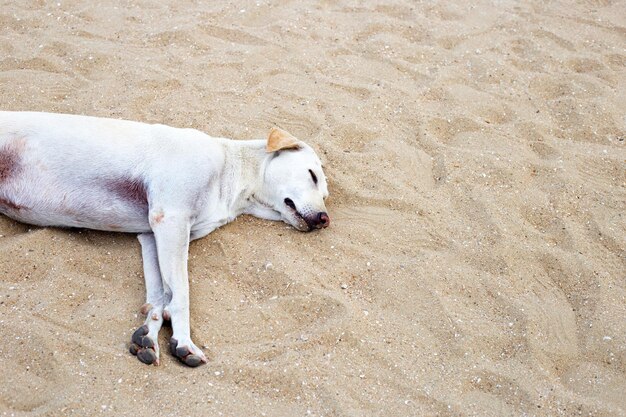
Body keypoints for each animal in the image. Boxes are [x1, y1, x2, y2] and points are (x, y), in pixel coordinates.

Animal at [0, 110, 330, 364]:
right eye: (312, 175)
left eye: (326, 194)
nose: (325, 220)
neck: (231, 176)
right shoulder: (171, 220)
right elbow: (181, 293)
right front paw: (184, 342)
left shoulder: (152, 236)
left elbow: (160, 294)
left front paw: (149, 334)